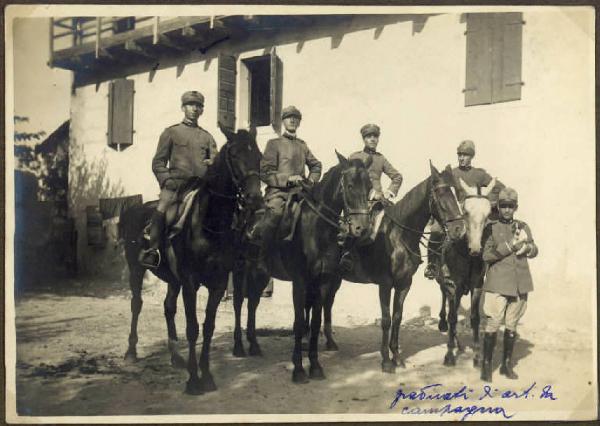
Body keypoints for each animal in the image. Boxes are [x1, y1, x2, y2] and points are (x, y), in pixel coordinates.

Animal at [119, 125, 262, 392]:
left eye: (258, 156)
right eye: (234, 154)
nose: (254, 198)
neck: (209, 223)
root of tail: (134, 208)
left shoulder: (217, 283)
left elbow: (208, 327)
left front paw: (206, 375)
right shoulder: (190, 281)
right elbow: (193, 328)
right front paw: (194, 380)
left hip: (172, 279)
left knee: (168, 307)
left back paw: (176, 357)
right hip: (136, 269)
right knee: (136, 304)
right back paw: (131, 351)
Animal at [232, 153, 372, 382]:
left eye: (369, 186)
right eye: (350, 185)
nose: (362, 228)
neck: (317, 229)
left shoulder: (323, 281)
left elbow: (315, 321)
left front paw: (315, 366)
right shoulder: (300, 281)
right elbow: (298, 322)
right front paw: (298, 369)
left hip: (261, 273)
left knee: (252, 303)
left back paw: (254, 345)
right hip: (239, 270)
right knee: (238, 303)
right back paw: (238, 347)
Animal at [314, 163, 464, 372]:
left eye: (455, 194)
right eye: (440, 195)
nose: (459, 229)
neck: (398, 236)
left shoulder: (404, 284)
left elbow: (397, 317)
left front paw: (397, 357)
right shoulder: (384, 284)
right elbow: (386, 320)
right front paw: (385, 360)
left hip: (335, 279)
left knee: (327, 304)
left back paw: (330, 342)